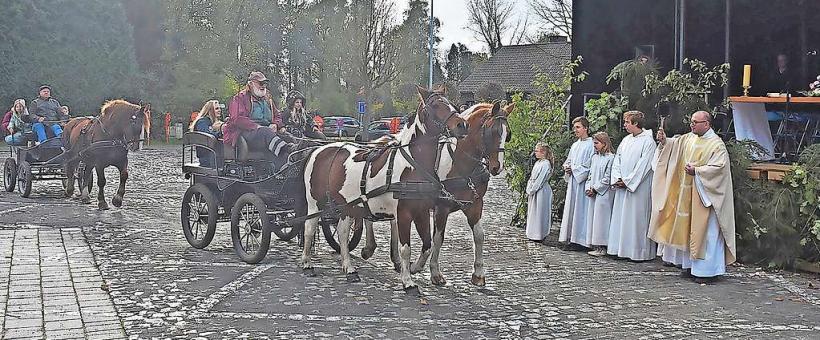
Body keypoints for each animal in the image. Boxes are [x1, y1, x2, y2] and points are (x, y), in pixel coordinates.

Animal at [302, 86, 468, 294]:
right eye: (436, 105)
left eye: (453, 105)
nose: (462, 125)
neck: (412, 165)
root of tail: (319, 150)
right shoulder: (403, 214)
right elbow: (405, 248)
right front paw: (408, 281)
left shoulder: (421, 212)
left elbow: (427, 245)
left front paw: (415, 268)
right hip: (314, 203)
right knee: (309, 228)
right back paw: (307, 264)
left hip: (347, 206)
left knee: (341, 231)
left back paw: (349, 268)